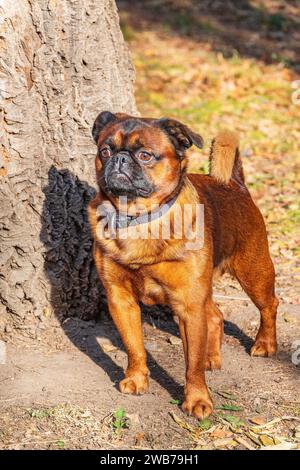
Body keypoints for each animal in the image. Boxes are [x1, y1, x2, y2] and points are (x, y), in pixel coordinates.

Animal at [88, 111, 278, 418]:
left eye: (145, 155)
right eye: (105, 151)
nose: (119, 159)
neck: (139, 219)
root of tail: (236, 183)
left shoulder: (189, 305)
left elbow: (192, 364)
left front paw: (198, 399)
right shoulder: (121, 300)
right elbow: (134, 346)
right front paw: (136, 378)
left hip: (253, 272)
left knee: (269, 305)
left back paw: (265, 344)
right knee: (215, 315)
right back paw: (212, 357)